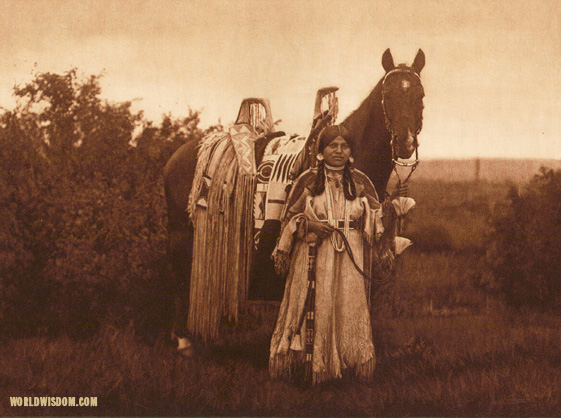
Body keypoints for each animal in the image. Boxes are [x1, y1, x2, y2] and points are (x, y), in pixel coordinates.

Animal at [162, 48, 424, 356]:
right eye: (387, 95)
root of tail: (180, 154)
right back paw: (183, 340)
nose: (405, 143)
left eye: (419, 94)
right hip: (181, 232)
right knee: (179, 275)